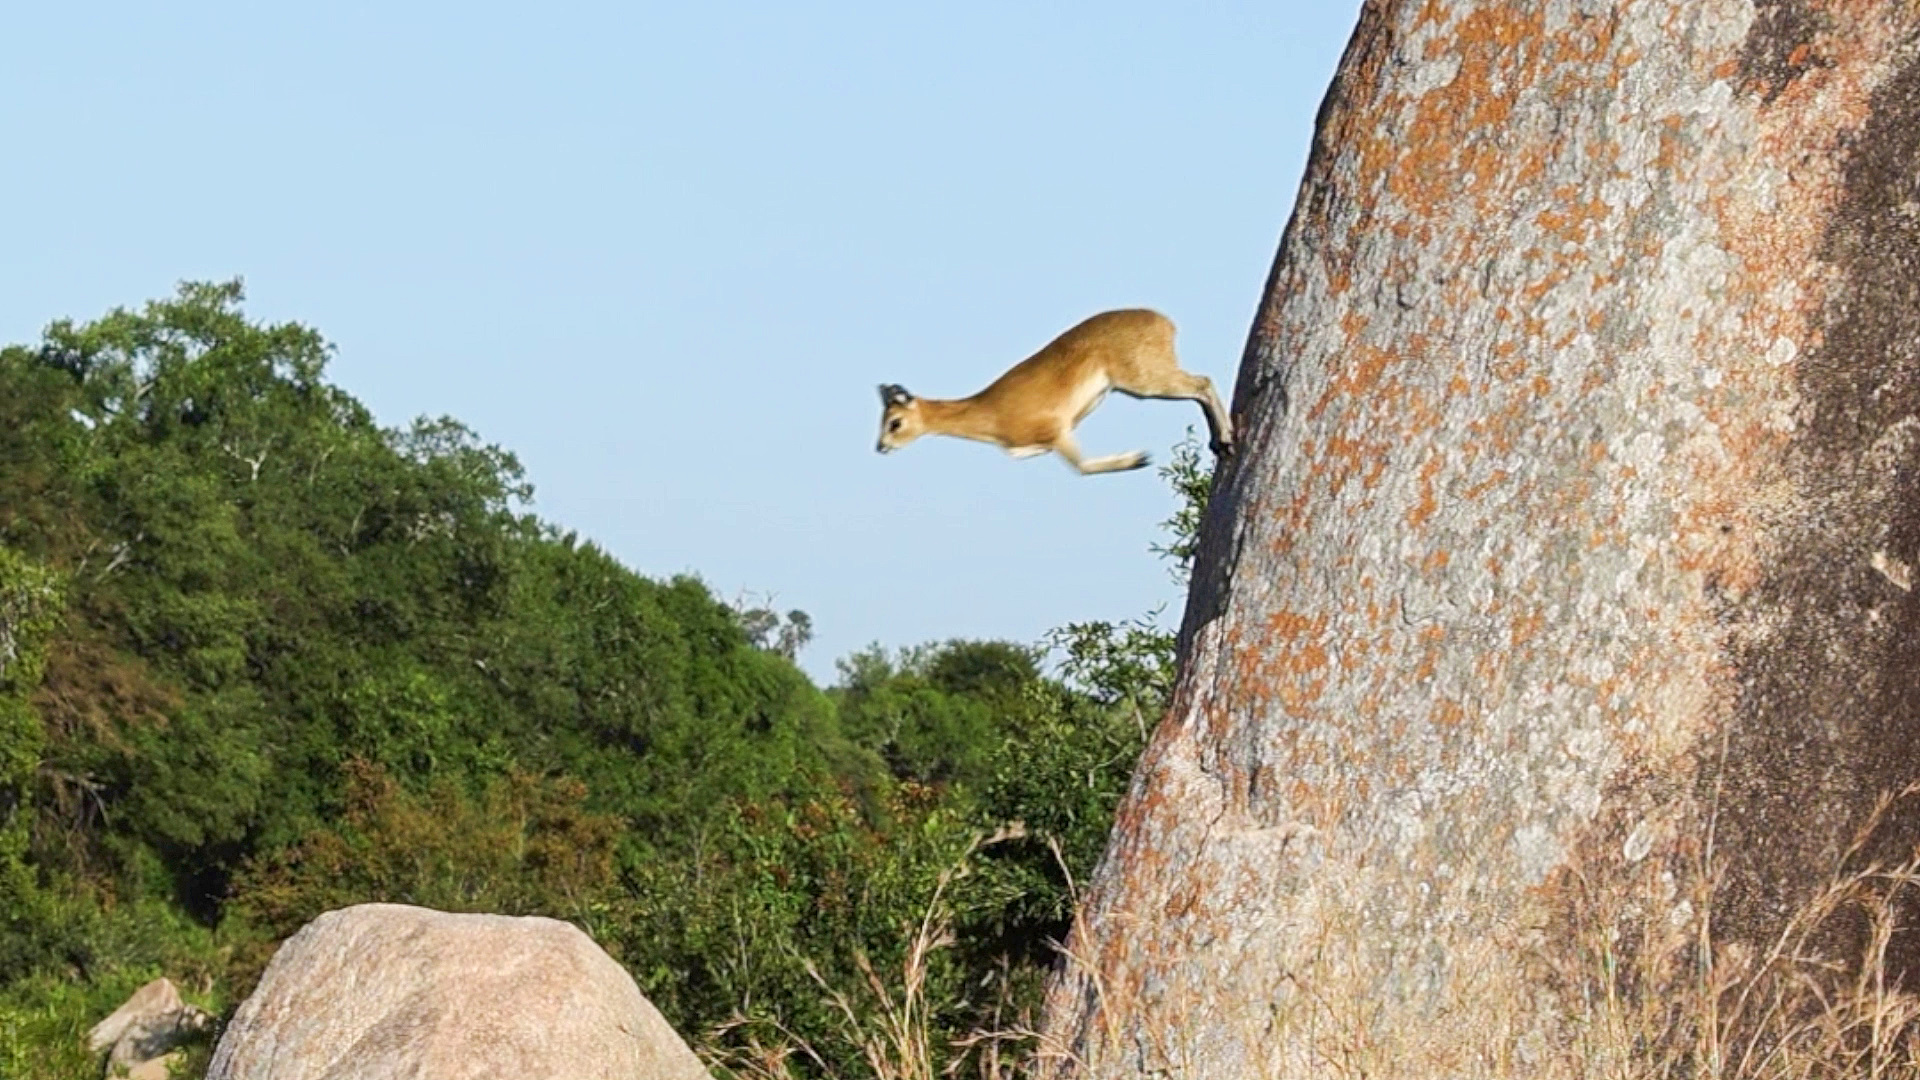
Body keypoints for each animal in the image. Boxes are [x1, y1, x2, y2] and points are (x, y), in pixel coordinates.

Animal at [874, 309, 1233, 475]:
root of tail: (1166, 322)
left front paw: (1138, 458)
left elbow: (1081, 467)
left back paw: (1227, 438)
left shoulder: (1058, 432)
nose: (881, 447)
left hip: (1144, 382)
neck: (988, 414)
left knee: (1203, 383)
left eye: (894, 422)